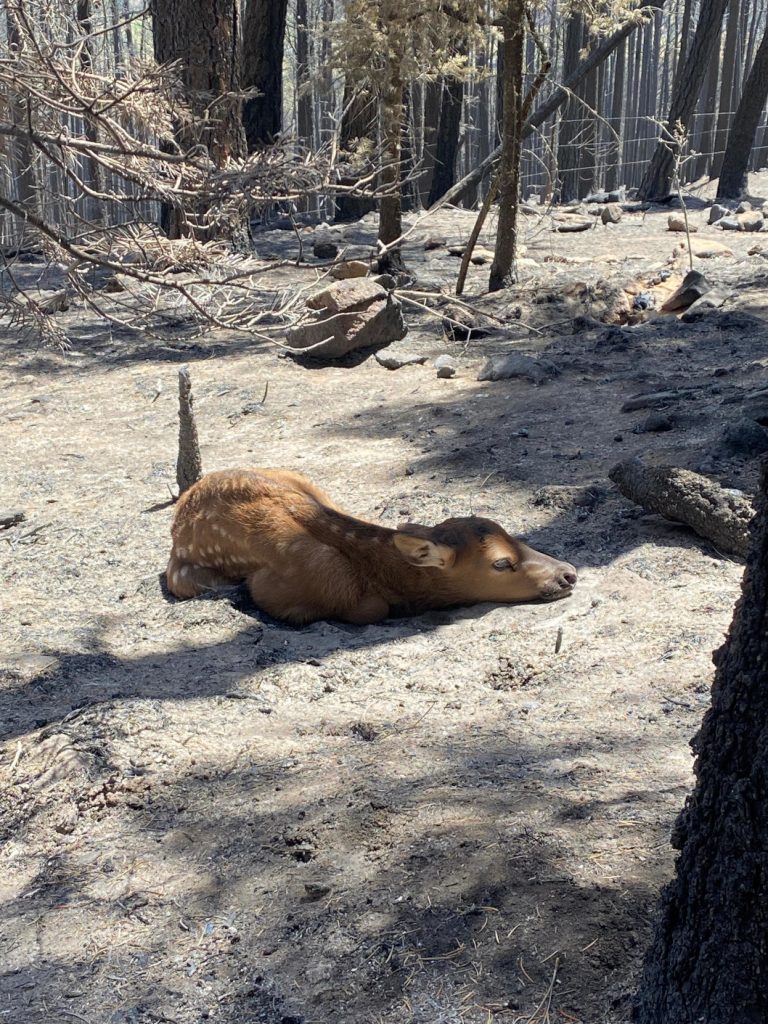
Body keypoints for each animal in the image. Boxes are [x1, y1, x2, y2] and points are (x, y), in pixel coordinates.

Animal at [167, 468, 577, 626]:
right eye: (501, 563)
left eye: (516, 535)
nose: (569, 573)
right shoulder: (278, 589)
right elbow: (371, 609)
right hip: (185, 577)